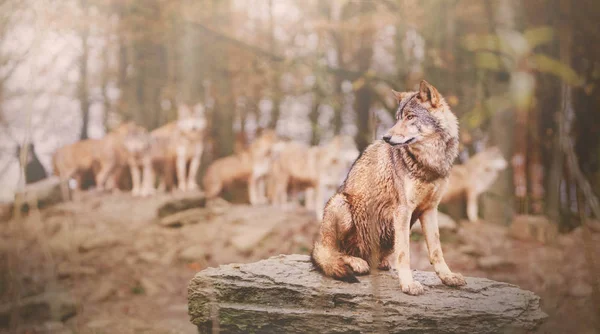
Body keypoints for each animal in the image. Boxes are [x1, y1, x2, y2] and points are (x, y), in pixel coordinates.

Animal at [312, 80, 466, 294]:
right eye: (397, 118)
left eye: (410, 117)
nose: (386, 137)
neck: (428, 164)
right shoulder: (403, 210)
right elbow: (404, 254)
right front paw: (408, 284)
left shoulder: (430, 209)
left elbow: (436, 250)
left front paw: (448, 277)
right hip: (340, 203)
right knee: (333, 254)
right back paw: (357, 262)